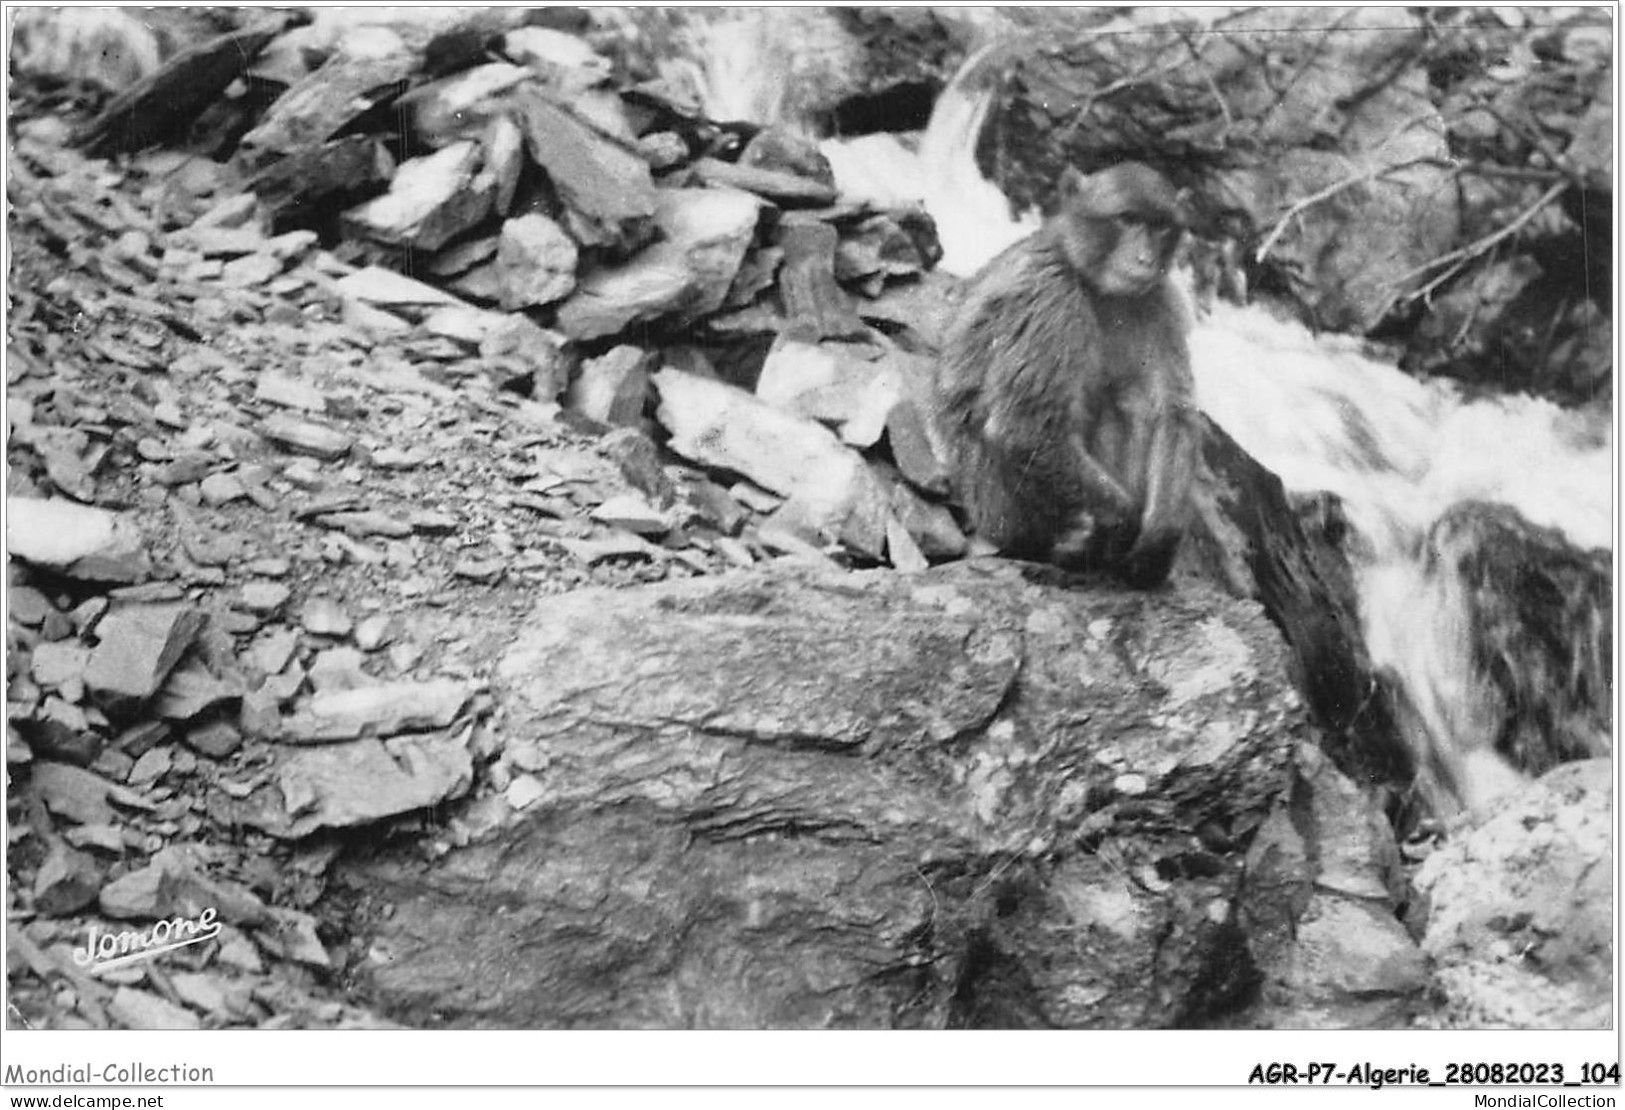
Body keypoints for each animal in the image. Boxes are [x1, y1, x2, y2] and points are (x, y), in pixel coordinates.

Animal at [936, 162, 1202, 591]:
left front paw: (1159, 541)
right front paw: (1123, 523)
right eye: (1127, 219)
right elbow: (1027, 427)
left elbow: (1172, 413)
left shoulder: (1157, 302)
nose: (1144, 258)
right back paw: (1074, 552)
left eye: (1161, 226)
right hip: (1006, 512)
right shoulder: (1051, 297)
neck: (1099, 286)